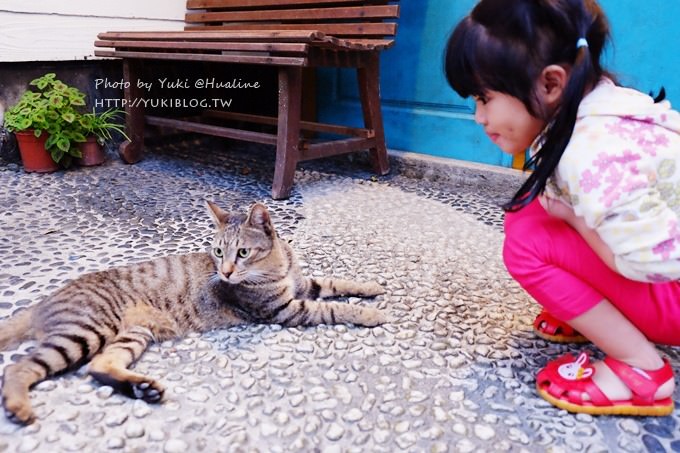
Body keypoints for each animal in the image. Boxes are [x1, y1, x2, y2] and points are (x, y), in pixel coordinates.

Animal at [0, 201, 388, 424]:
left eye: (242, 252)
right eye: (218, 252)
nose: (226, 273)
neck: (278, 267)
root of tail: (43, 301)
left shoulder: (303, 285)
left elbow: (336, 281)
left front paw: (372, 288)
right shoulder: (286, 310)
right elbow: (333, 307)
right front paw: (372, 315)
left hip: (132, 335)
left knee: (98, 366)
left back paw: (142, 389)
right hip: (83, 331)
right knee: (20, 367)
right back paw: (19, 407)